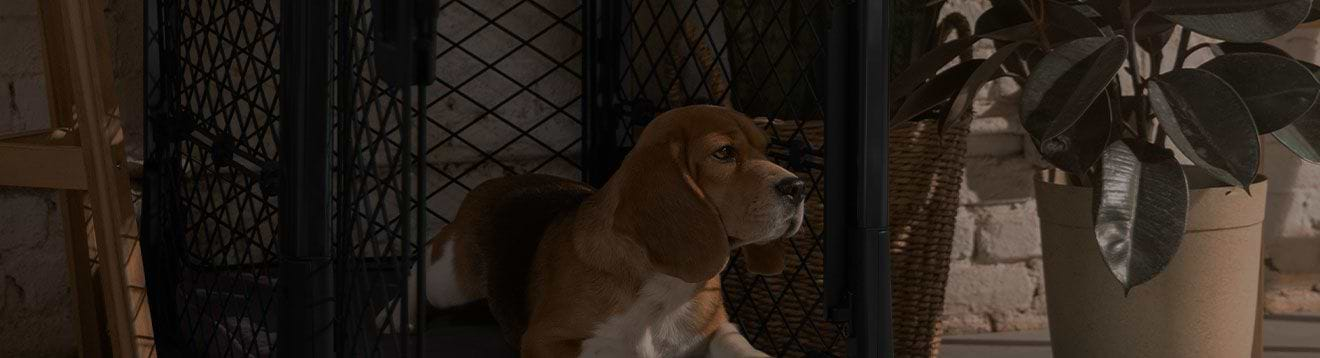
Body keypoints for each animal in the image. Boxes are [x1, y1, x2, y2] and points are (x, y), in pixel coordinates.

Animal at [372, 105, 802, 356]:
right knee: (420, 264)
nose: (798, 187)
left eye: (766, 149)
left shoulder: (714, 329)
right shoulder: (545, 341)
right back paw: (392, 318)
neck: (665, 286)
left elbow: (739, 345)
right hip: (452, 277)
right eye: (724, 153)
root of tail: (497, 181)